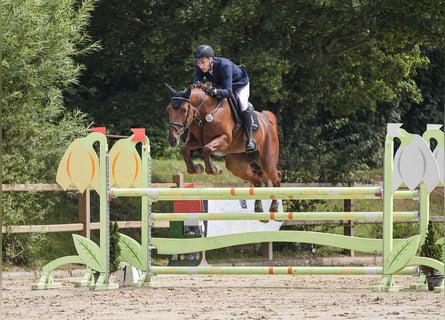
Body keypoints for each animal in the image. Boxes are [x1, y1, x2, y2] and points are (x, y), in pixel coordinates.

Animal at [163, 83, 280, 212]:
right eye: (168, 110)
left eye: (184, 110)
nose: (172, 139)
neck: (204, 112)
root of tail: (267, 121)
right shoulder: (196, 140)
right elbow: (185, 149)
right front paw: (195, 168)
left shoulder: (224, 139)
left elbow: (206, 149)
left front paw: (213, 169)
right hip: (236, 165)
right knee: (258, 180)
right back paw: (258, 207)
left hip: (267, 161)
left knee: (276, 177)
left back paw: (274, 206)